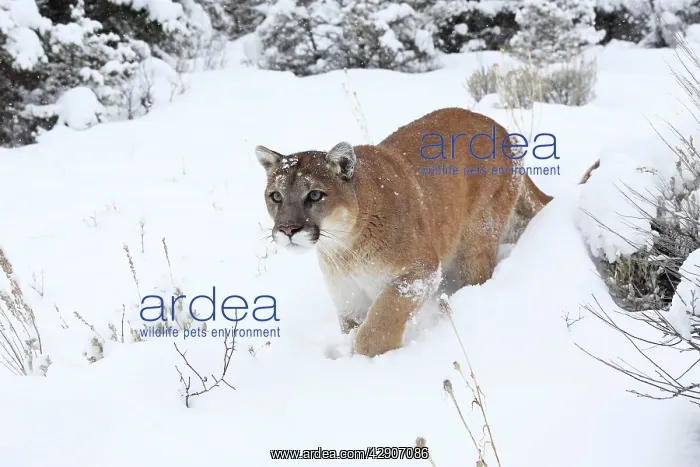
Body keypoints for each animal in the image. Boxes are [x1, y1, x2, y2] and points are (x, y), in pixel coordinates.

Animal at [255, 107, 599, 357]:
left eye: (314, 195)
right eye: (276, 196)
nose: (287, 229)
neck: (344, 247)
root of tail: (499, 127)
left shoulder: (419, 271)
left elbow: (381, 319)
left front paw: (368, 357)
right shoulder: (349, 300)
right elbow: (356, 326)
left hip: (478, 232)